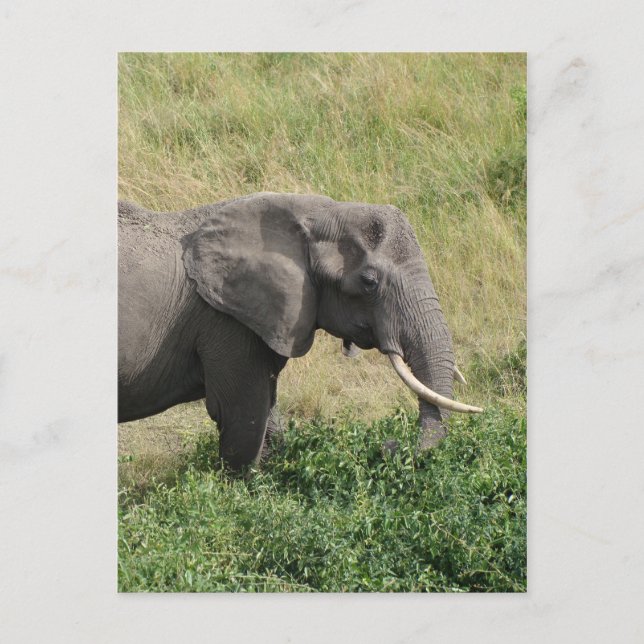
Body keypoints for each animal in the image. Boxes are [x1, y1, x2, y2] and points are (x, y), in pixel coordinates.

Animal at [118, 193, 482, 470]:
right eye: (369, 282)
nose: (389, 444)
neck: (314, 212)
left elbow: (267, 418)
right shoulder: (227, 322)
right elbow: (242, 418)